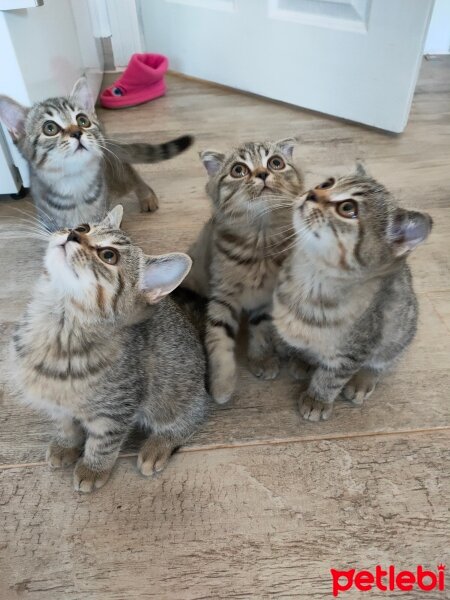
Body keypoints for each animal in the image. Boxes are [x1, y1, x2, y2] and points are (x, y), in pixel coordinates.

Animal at [0, 77, 192, 230]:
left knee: (132, 175)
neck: (74, 185)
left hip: (117, 175)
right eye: (50, 128)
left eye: (82, 120)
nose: (77, 132)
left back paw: (147, 196)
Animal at [10, 206, 207, 492]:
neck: (57, 326)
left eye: (108, 255)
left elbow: (103, 443)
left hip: (171, 395)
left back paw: (159, 445)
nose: (72, 234)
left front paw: (93, 469)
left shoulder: (115, 411)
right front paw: (65, 444)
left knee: (193, 415)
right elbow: (64, 423)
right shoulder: (54, 400)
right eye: (83, 227)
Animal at [184, 138, 306, 406]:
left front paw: (261, 358)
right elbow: (218, 340)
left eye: (276, 163)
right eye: (238, 170)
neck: (259, 241)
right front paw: (221, 385)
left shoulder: (265, 300)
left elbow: (260, 330)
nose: (262, 174)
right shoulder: (222, 297)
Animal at [270, 164, 432, 422]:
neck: (309, 276)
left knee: (383, 360)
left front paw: (317, 400)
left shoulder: (354, 350)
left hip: (399, 332)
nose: (311, 193)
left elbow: (331, 378)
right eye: (326, 184)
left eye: (347, 208)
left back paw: (363, 380)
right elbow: (305, 346)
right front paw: (305, 360)